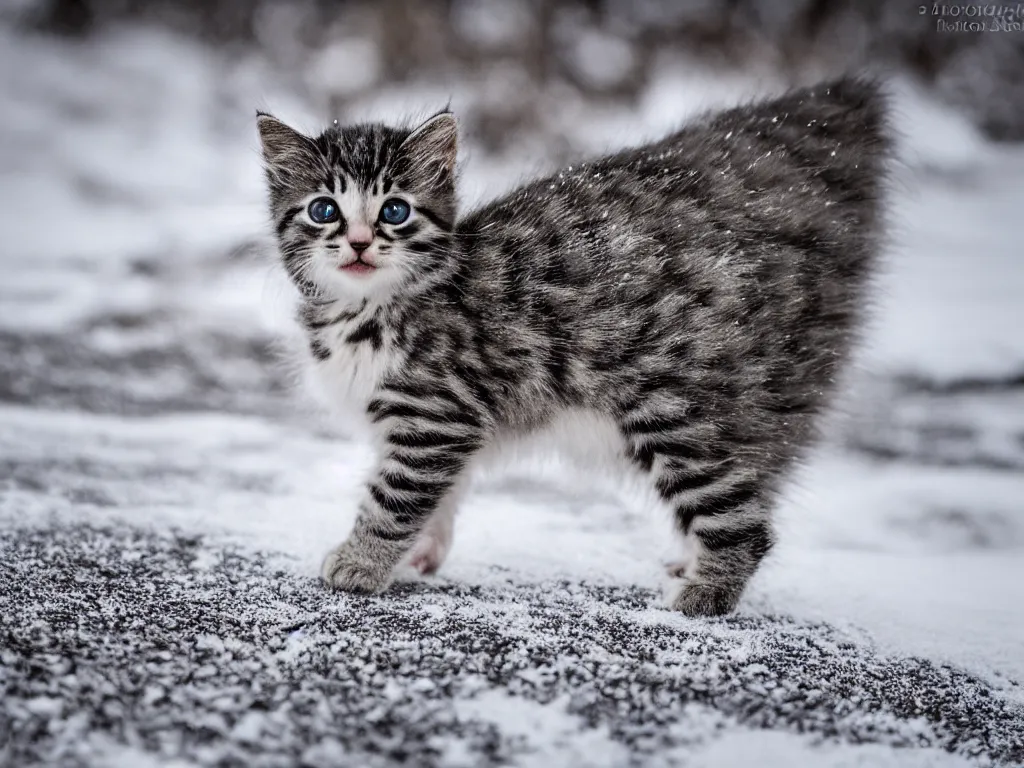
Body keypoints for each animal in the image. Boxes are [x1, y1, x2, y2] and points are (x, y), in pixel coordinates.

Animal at [256, 76, 888, 618]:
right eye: (323, 210)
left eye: (394, 210)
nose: (361, 243)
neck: (367, 309)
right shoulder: (444, 424)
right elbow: (438, 489)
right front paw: (419, 551)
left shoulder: (438, 412)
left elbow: (396, 496)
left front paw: (361, 562)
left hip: (673, 404)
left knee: (744, 520)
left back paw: (703, 595)